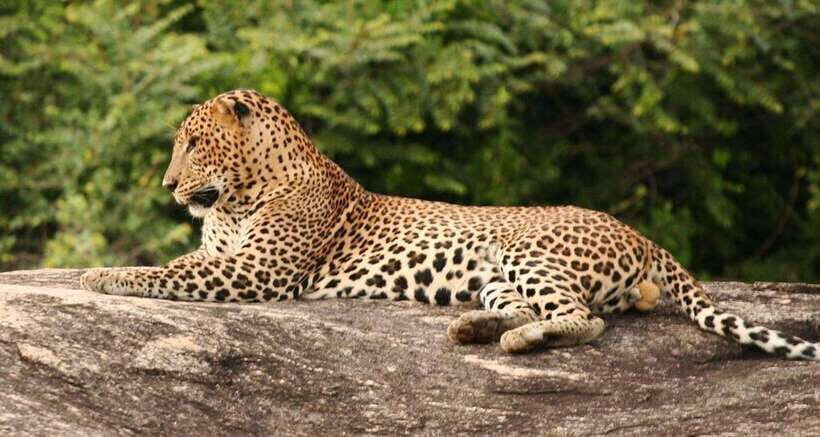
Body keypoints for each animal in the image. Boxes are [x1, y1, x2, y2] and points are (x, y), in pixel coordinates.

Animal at [80, 89, 818, 360]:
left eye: (193, 143)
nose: (169, 186)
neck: (237, 196)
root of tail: (639, 232)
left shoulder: (258, 270)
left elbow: (164, 270)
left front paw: (99, 274)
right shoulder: (231, 257)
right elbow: (177, 263)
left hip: (530, 253)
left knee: (585, 318)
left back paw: (515, 341)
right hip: (495, 273)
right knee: (534, 307)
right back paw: (476, 328)